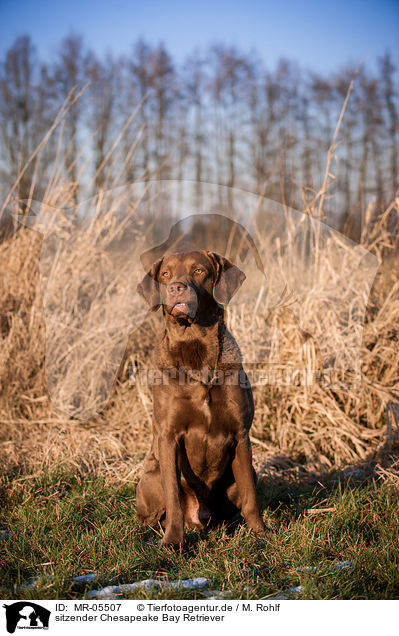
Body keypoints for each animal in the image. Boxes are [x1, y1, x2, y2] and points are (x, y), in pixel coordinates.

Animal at [136, 251, 264, 544]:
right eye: (166, 274)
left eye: (198, 271)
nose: (176, 288)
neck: (195, 348)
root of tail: (201, 519)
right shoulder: (168, 436)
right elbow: (173, 497)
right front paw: (173, 542)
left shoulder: (241, 434)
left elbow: (251, 497)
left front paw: (261, 534)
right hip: (151, 476)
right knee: (152, 515)